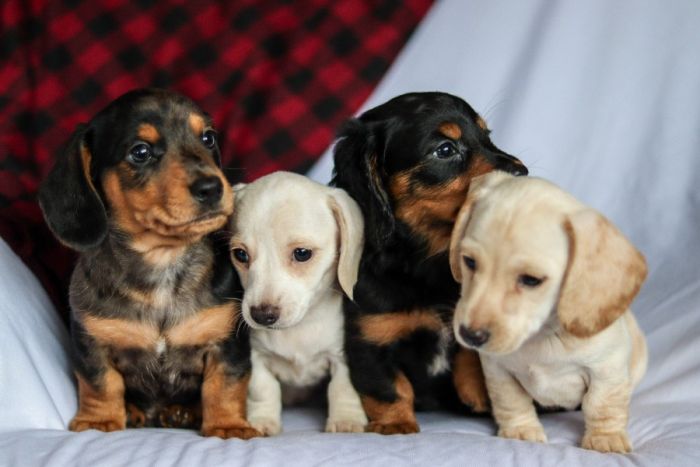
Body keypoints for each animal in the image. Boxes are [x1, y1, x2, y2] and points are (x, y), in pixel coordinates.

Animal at [37, 88, 260, 438]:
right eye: (140, 152)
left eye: (208, 138)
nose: (212, 188)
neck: (162, 262)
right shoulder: (92, 344)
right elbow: (100, 384)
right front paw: (100, 420)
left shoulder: (227, 344)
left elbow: (224, 387)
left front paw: (228, 425)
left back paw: (182, 412)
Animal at [232, 174, 370, 436]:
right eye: (240, 255)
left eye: (302, 253)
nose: (261, 315)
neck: (299, 328)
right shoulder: (258, 358)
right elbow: (263, 389)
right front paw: (262, 420)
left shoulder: (342, 357)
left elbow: (342, 388)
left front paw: (346, 420)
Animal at [330, 91, 528, 436]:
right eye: (445, 149)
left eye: (487, 136)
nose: (523, 173)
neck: (426, 263)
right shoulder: (370, 338)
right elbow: (389, 387)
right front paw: (396, 424)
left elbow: (470, 353)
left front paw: (476, 391)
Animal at [452, 172, 648, 454]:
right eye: (469, 262)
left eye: (531, 280)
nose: (470, 335)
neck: (543, 336)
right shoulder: (498, 370)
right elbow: (510, 401)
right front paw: (520, 431)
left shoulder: (607, 368)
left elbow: (602, 404)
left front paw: (605, 438)